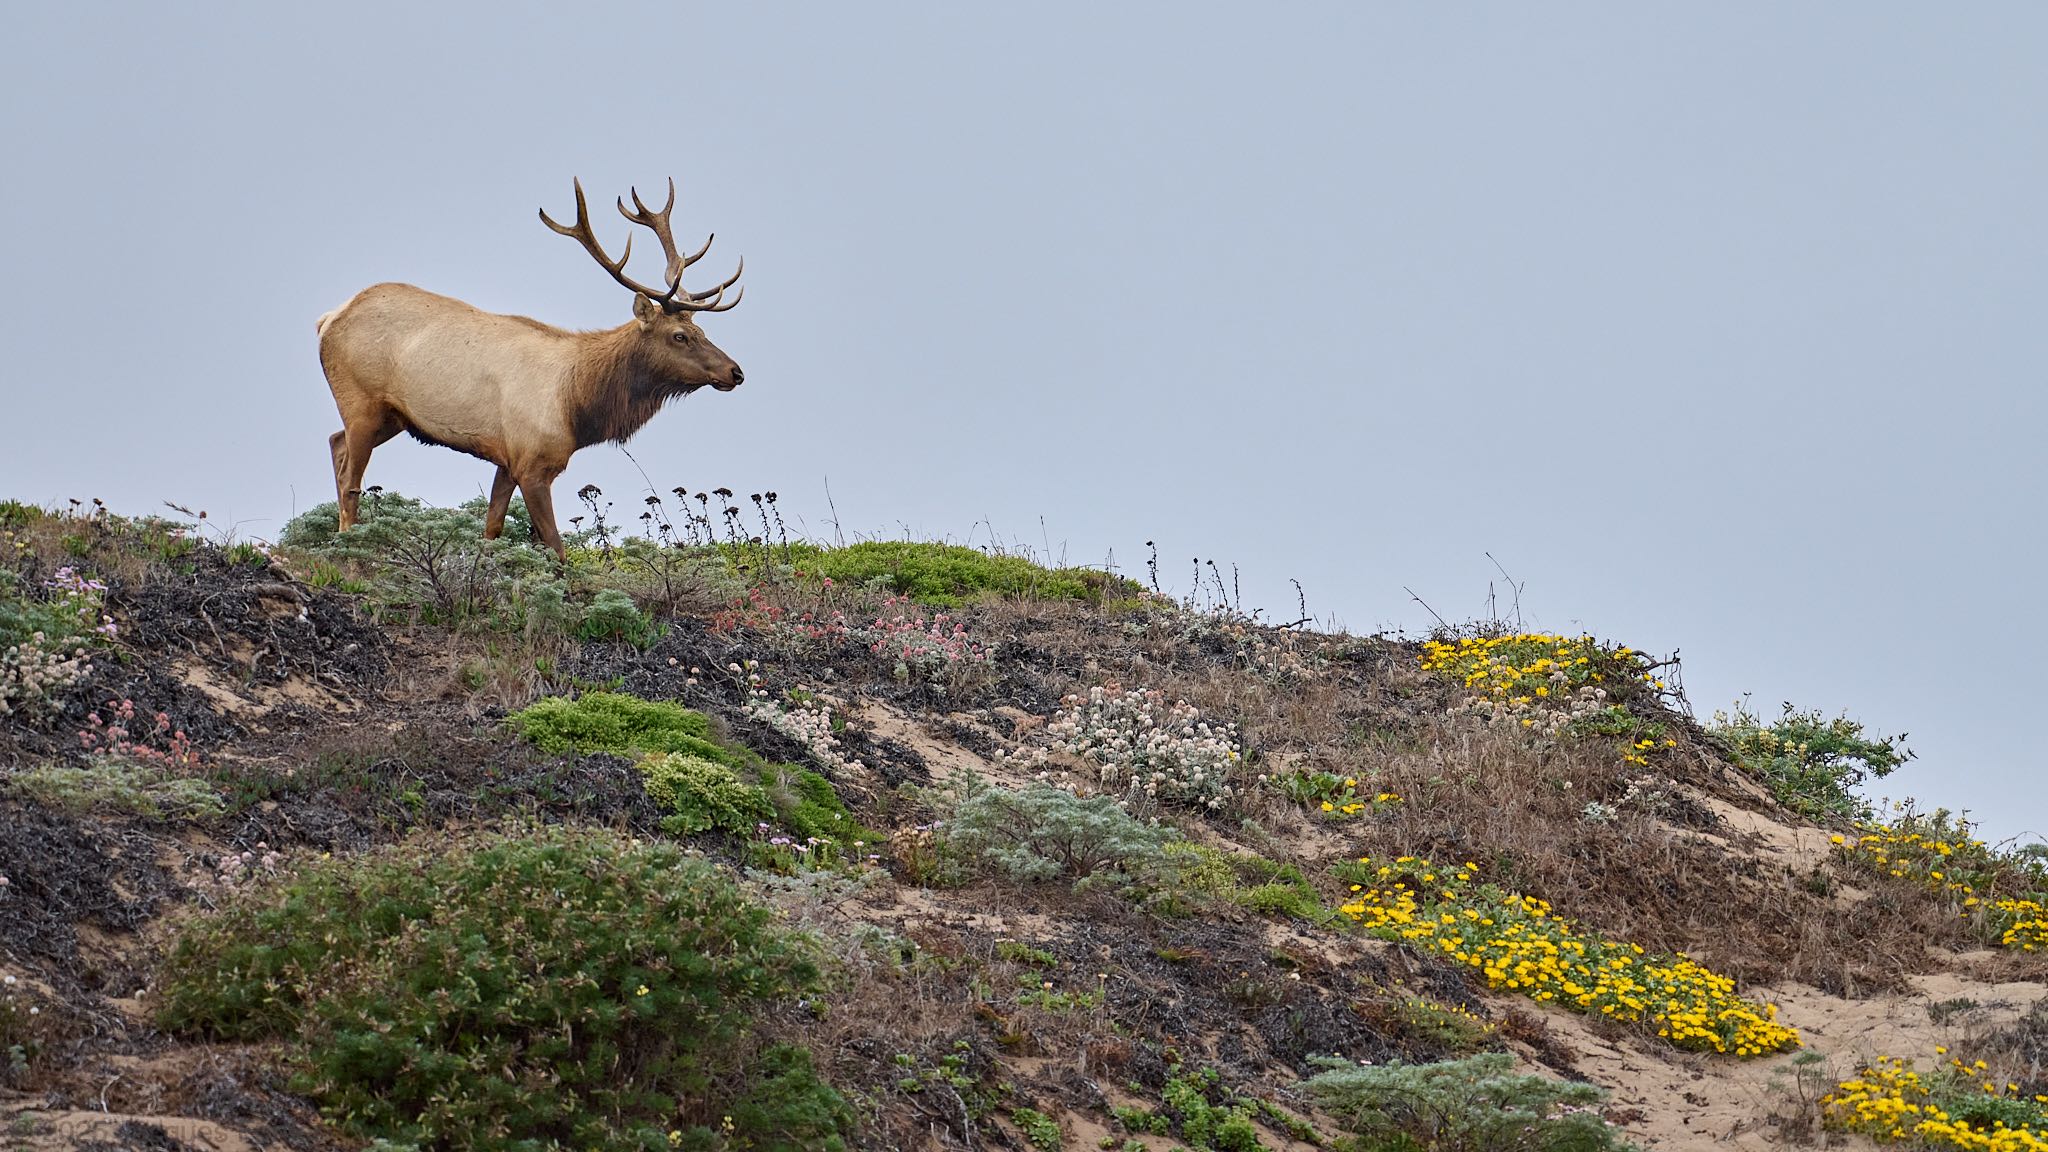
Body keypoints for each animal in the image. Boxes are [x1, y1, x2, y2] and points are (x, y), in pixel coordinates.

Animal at [315, 177, 745, 559]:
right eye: (679, 335)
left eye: (702, 330)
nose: (736, 372)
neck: (577, 406)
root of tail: (327, 319)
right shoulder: (534, 464)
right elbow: (555, 548)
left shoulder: (507, 460)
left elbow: (492, 529)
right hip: (361, 401)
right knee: (350, 480)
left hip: (393, 417)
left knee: (335, 443)